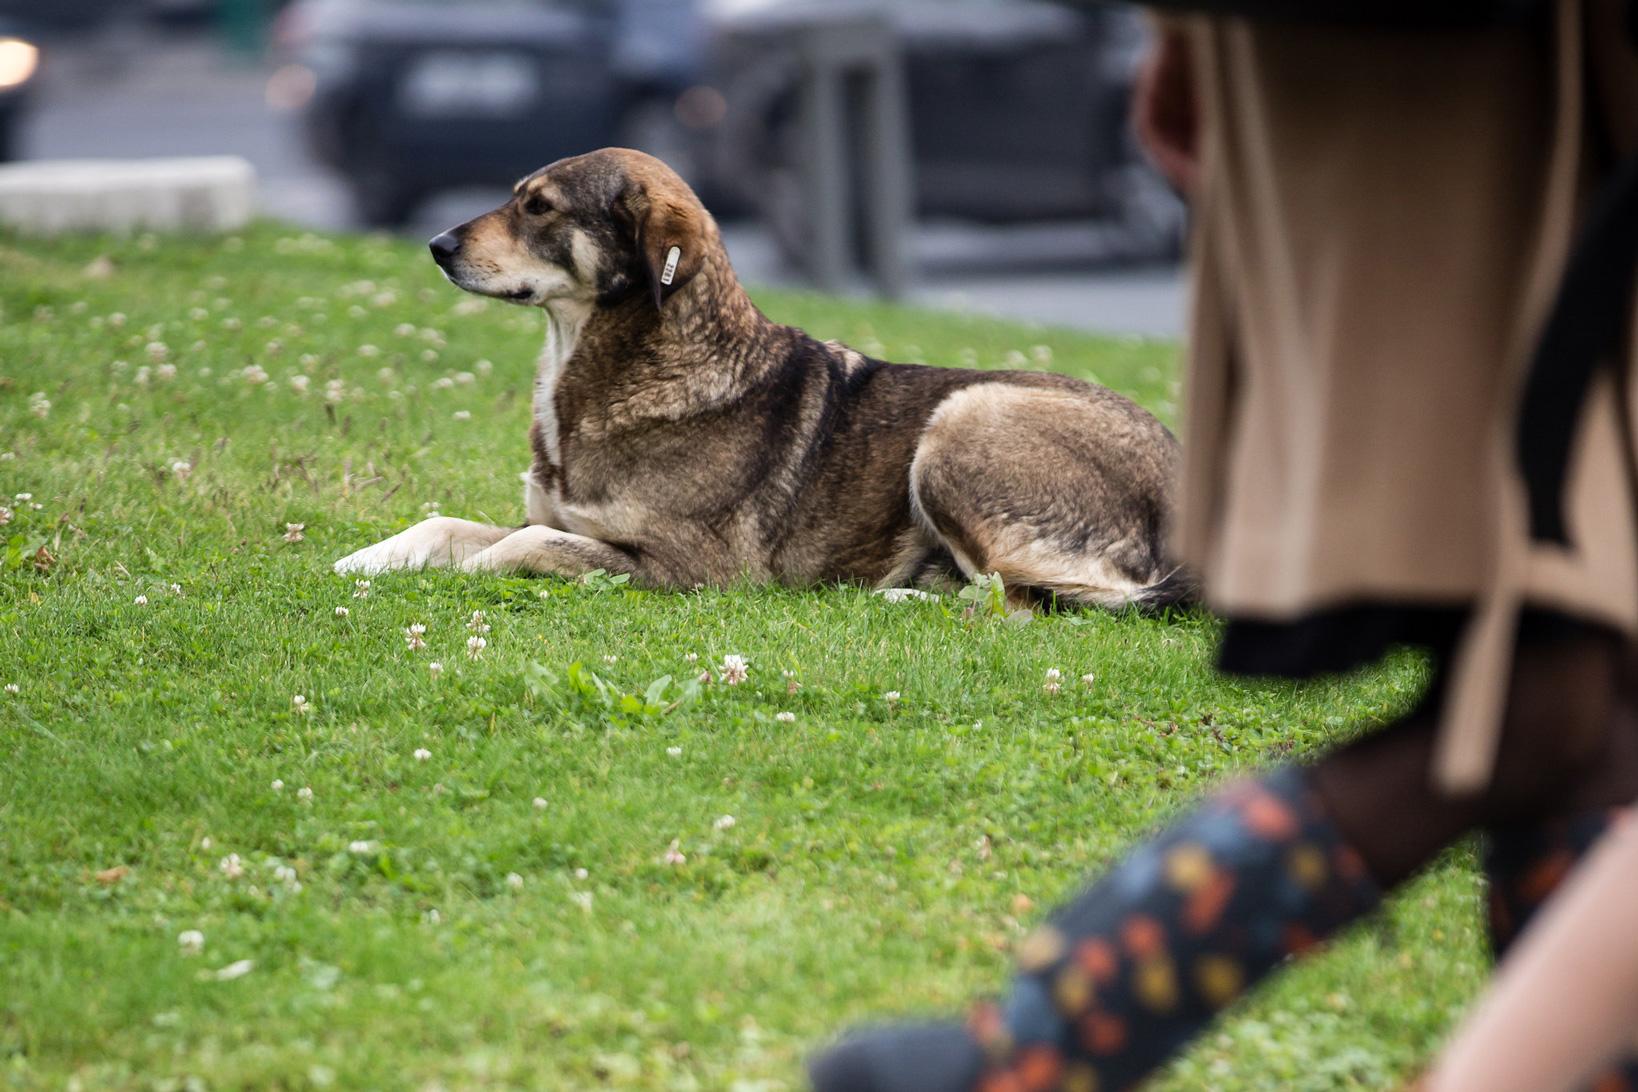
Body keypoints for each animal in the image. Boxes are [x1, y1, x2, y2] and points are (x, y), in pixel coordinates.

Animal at [335, 148, 1192, 612]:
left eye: (539, 207)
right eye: (518, 197)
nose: (436, 245)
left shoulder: (692, 570)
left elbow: (522, 545)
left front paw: (454, 579)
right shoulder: (563, 518)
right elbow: (445, 523)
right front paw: (366, 561)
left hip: (964, 416)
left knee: (1016, 602)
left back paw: (900, 599)